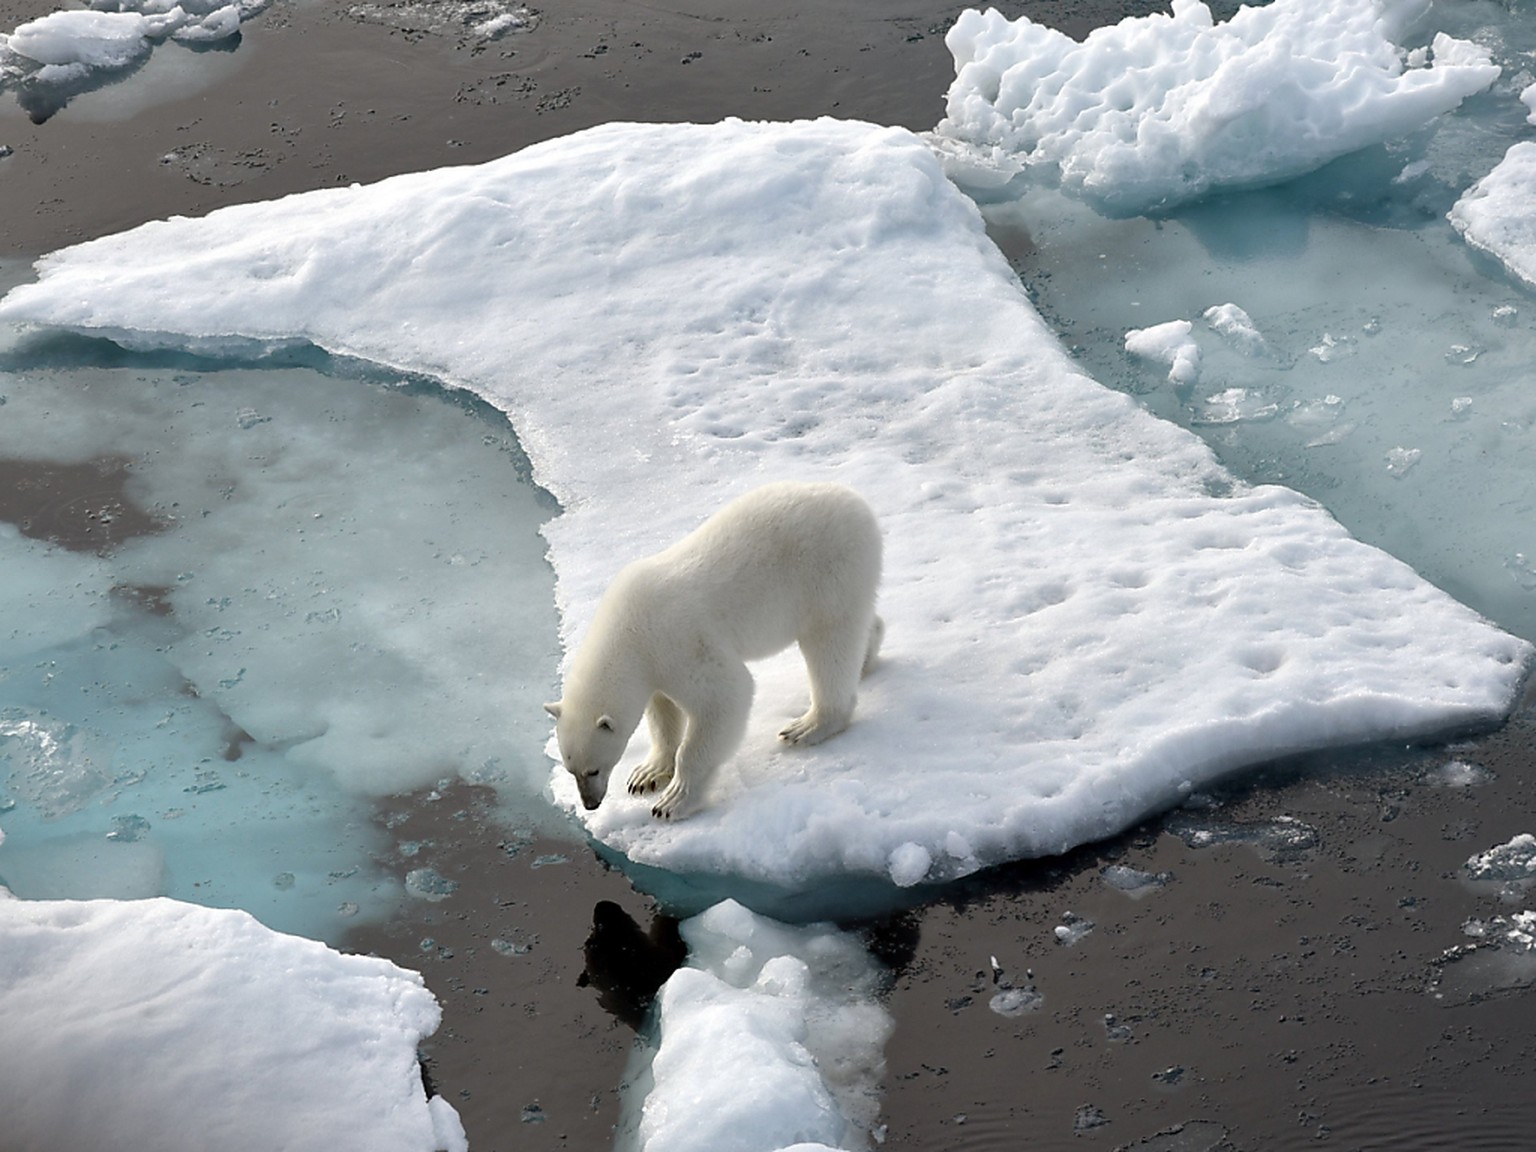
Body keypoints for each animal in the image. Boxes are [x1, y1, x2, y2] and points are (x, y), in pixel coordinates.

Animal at [543, 482, 884, 823]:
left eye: (593, 769)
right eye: (570, 768)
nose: (591, 804)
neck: (628, 631)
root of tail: (857, 503)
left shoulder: (678, 641)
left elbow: (724, 696)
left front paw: (672, 801)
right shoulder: (654, 664)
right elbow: (663, 711)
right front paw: (646, 774)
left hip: (828, 571)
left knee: (830, 643)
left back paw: (809, 725)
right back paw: (866, 658)